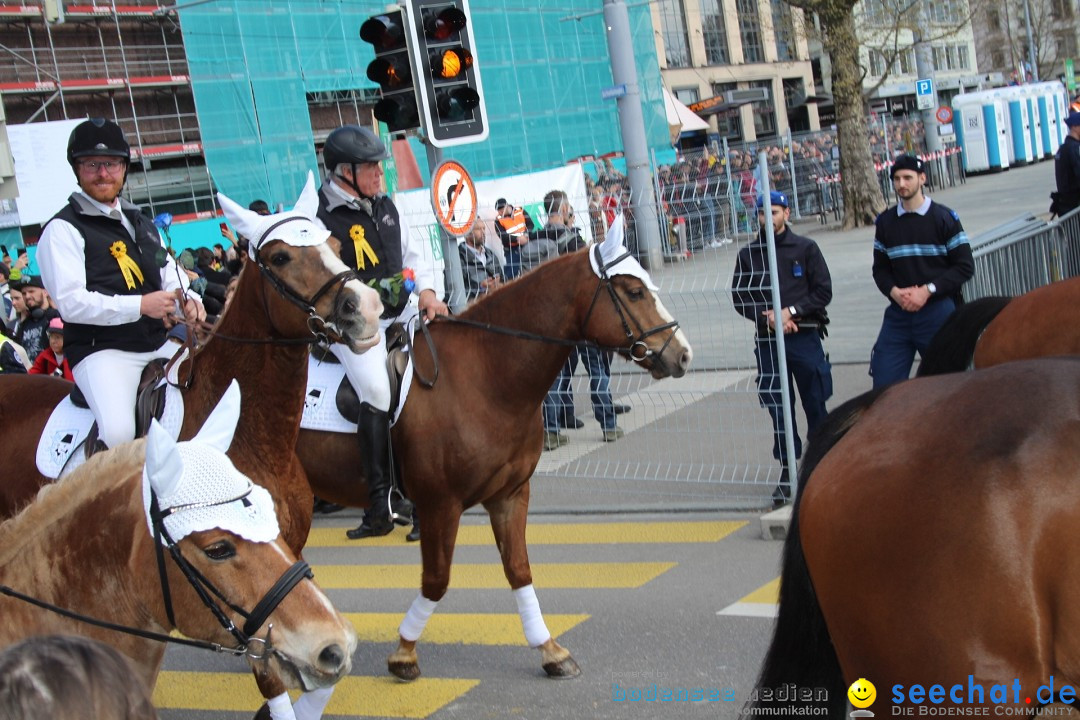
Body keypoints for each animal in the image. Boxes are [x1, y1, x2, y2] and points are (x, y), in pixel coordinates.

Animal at [295, 223, 695, 682]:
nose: (683, 354)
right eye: (633, 291)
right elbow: (436, 581)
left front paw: (550, 650)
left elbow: (518, 571)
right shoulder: (440, 505)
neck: (485, 376)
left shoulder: (509, 495)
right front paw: (404, 652)